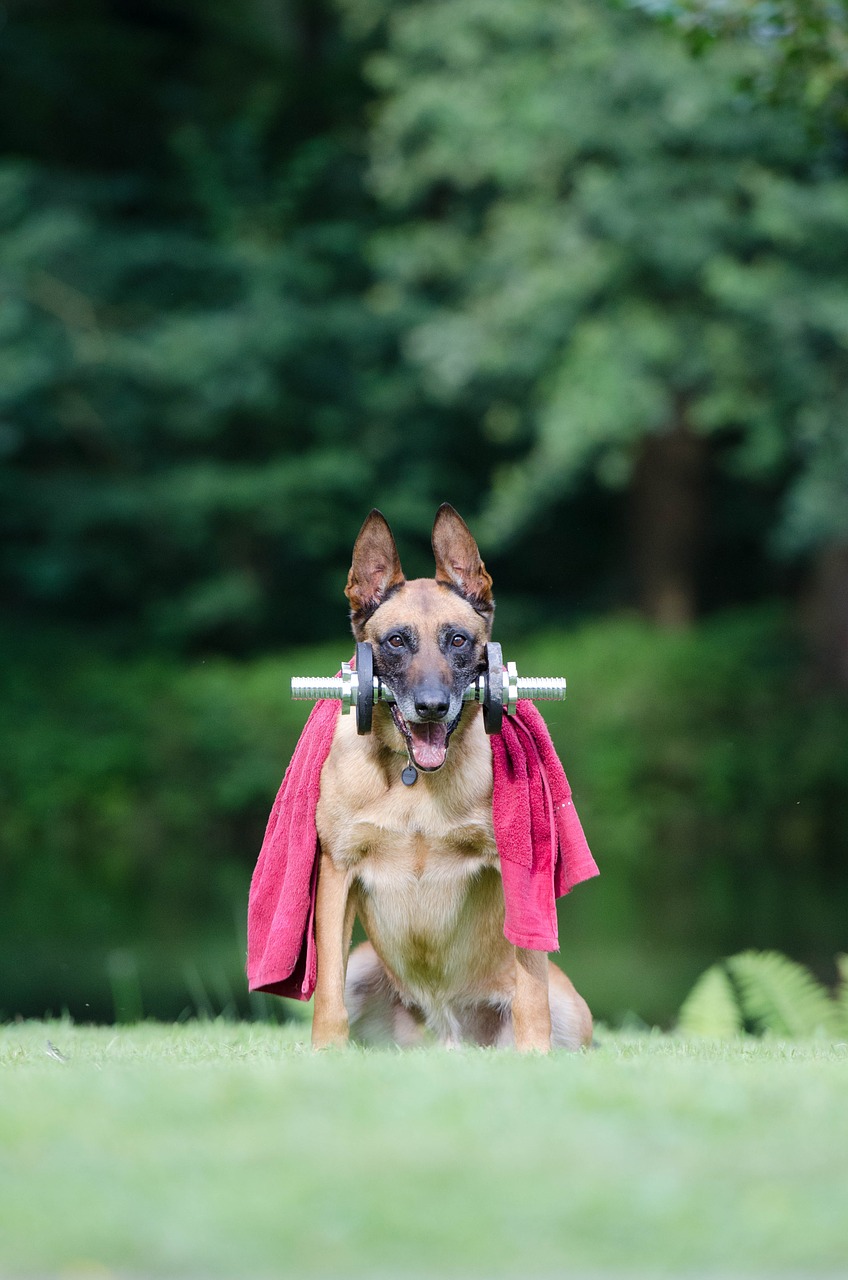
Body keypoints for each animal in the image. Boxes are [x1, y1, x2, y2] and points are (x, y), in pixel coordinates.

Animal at [308, 504, 594, 1054]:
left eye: (457, 640)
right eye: (397, 641)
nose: (432, 707)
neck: (414, 782)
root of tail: (445, 1036)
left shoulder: (516, 873)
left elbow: (531, 996)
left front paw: (534, 1056)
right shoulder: (337, 871)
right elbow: (325, 997)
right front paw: (324, 1054)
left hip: (572, 1009)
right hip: (363, 967)